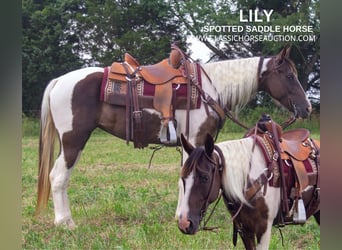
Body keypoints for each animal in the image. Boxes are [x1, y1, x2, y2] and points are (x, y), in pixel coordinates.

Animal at [36, 45, 312, 229]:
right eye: (289, 76)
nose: (307, 108)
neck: (209, 88)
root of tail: (59, 81)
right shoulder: (196, 139)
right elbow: (185, 180)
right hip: (73, 140)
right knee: (57, 177)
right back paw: (65, 223)